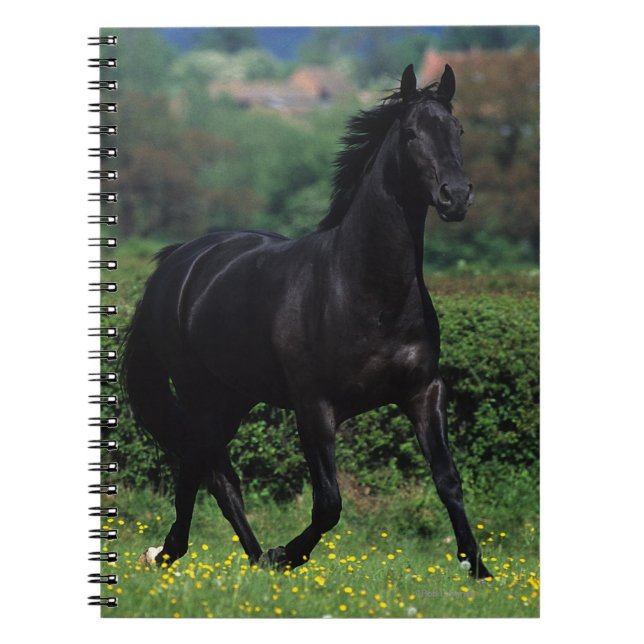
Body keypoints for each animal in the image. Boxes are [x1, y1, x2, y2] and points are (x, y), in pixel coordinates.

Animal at [122, 63, 492, 579]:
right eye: (412, 133)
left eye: (457, 130)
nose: (455, 196)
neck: (366, 291)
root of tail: (177, 261)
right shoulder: (314, 406)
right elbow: (329, 504)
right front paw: (288, 554)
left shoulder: (423, 392)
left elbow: (448, 480)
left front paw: (480, 570)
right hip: (200, 393)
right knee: (205, 468)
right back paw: (186, 553)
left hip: (233, 397)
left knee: (210, 472)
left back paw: (242, 559)